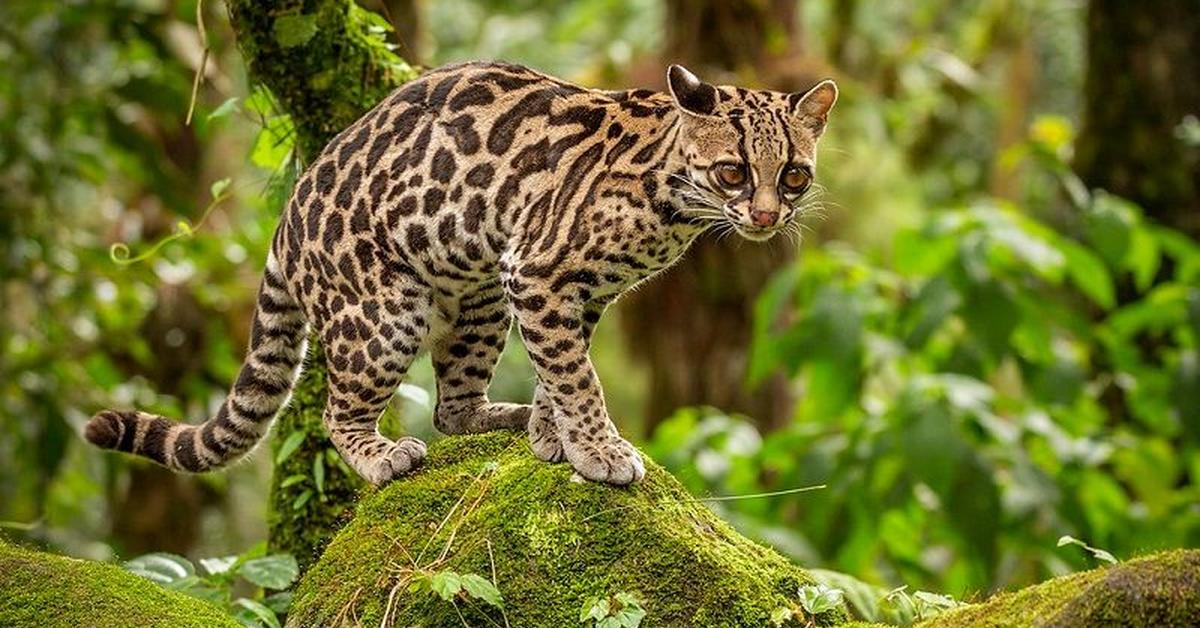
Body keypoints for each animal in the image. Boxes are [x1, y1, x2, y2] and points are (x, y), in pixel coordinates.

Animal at [87, 60, 835, 487]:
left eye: (794, 175)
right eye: (734, 172)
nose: (766, 217)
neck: (675, 197)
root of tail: (286, 221)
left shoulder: (575, 291)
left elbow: (562, 368)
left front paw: (551, 434)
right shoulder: (539, 272)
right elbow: (577, 375)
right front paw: (596, 449)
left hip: (480, 299)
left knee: (454, 409)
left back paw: (504, 416)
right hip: (385, 311)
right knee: (337, 410)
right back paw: (379, 455)